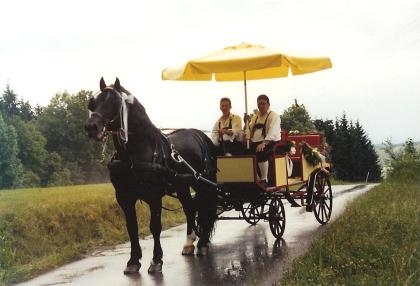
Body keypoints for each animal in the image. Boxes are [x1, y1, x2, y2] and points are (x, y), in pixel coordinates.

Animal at [84, 78, 218, 274]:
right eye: (92, 103)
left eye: (114, 102)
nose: (91, 127)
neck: (134, 154)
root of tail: (200, 135)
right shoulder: (124, 197)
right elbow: (132, 228)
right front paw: (133, 260)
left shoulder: (154, 196)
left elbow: (155, 227)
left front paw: (156, 260)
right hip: (182, 186)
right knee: (190, 208)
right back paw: (189, 243)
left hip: (203, 183)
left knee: (206, 206)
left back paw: (202, 243)